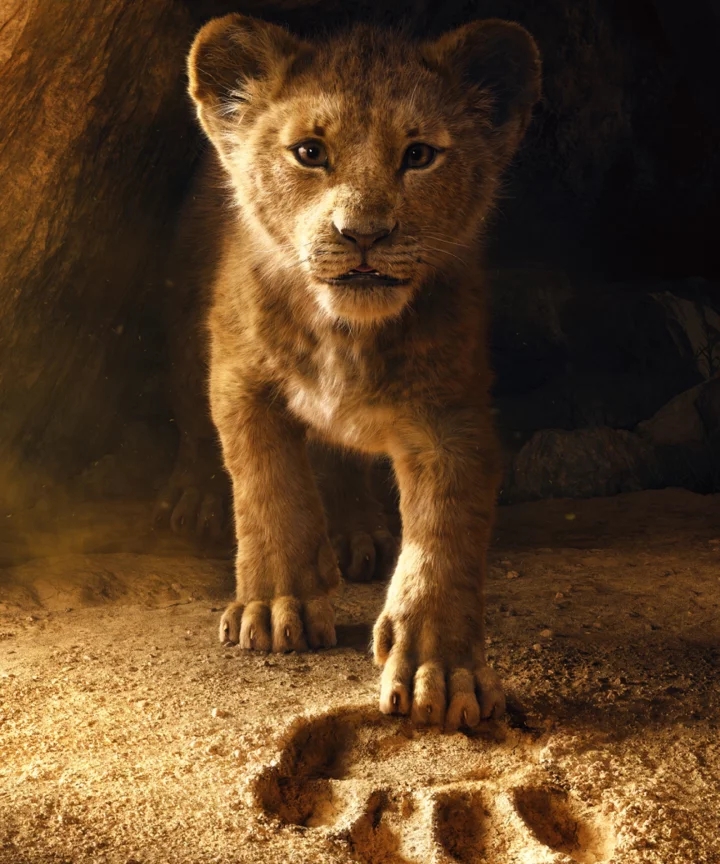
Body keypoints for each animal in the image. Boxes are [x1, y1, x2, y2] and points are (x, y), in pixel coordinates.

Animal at [163, 13, 541, 731]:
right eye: (310, 152)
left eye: (419, 155)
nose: (363, 233)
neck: (346, 332)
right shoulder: (240, 378)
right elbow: (268, 488)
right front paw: (275, 607)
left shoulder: (451, 415)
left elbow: (444, 535)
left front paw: (439, 669)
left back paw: (355, 531)